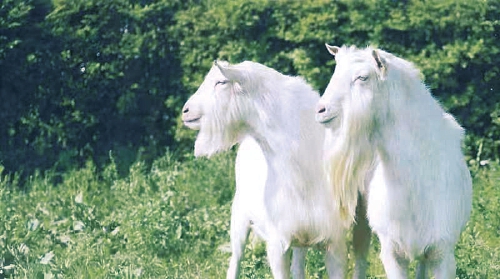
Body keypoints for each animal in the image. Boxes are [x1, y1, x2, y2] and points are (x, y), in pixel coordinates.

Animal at [182, 61, 370, 279]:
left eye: (220, 82)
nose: (185, 111)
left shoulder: (335, 242)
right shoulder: (277, 244)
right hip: (239, 218)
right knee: (235, 260)